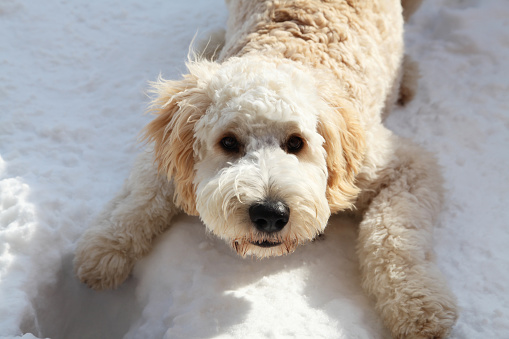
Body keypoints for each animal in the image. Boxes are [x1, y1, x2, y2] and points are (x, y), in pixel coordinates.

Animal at [74, 1, 456, 338]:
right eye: (228, 142)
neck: (283, 50)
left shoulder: (400, 165)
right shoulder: (173, 157)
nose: (269, 214)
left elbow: (393, 235)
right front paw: (105, 248)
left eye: (296, 142)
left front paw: (418, 305)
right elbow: (142, 194)